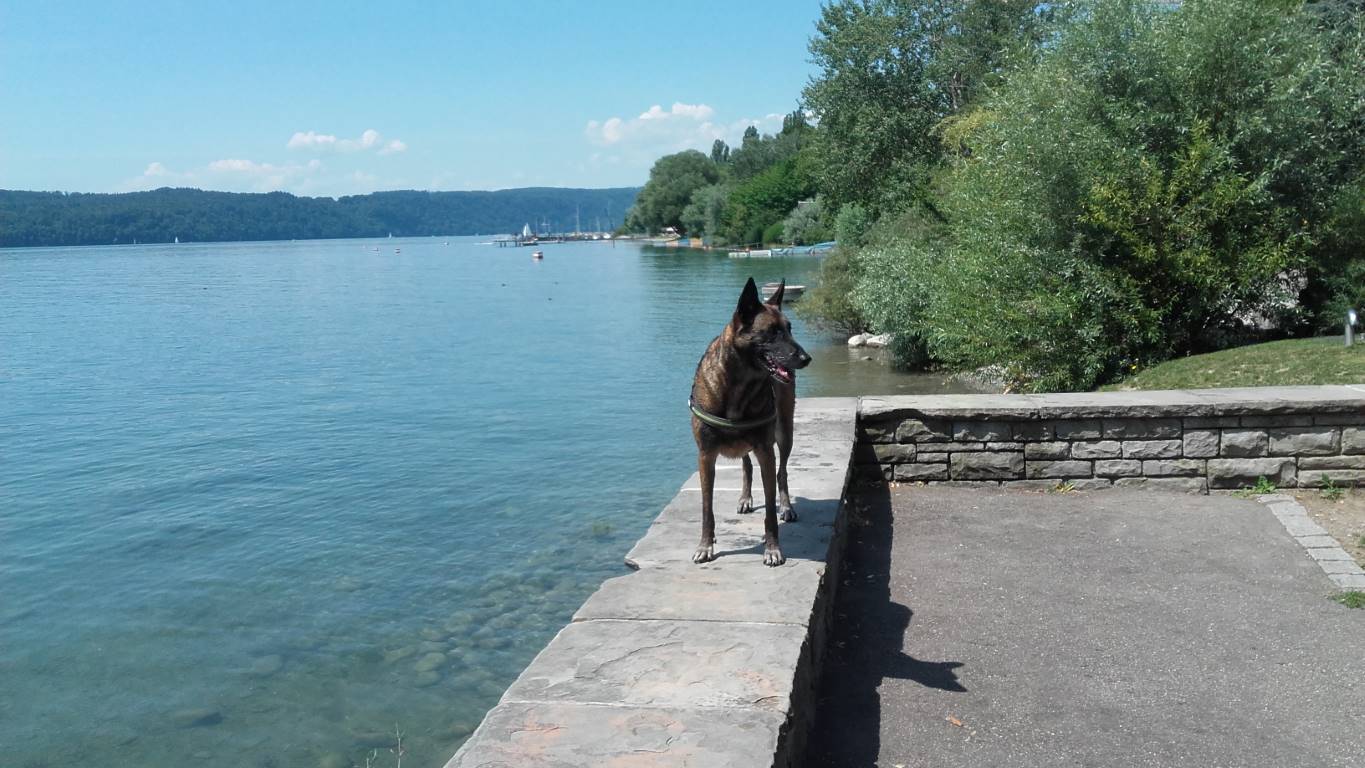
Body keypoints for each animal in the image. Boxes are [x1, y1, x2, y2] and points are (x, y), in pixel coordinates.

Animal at [693, 276, 808, 564]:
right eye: (773, 332)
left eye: (790, 328)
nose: (806, 358)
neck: (738, 385)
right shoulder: (706, 456)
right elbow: (707, 507)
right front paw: (705, 545)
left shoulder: (766, 451)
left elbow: (770, 510)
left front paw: (772, 548)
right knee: (746, 465)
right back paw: (745, 498)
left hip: (784, 432)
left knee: (782, 472)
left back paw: (786, 506)